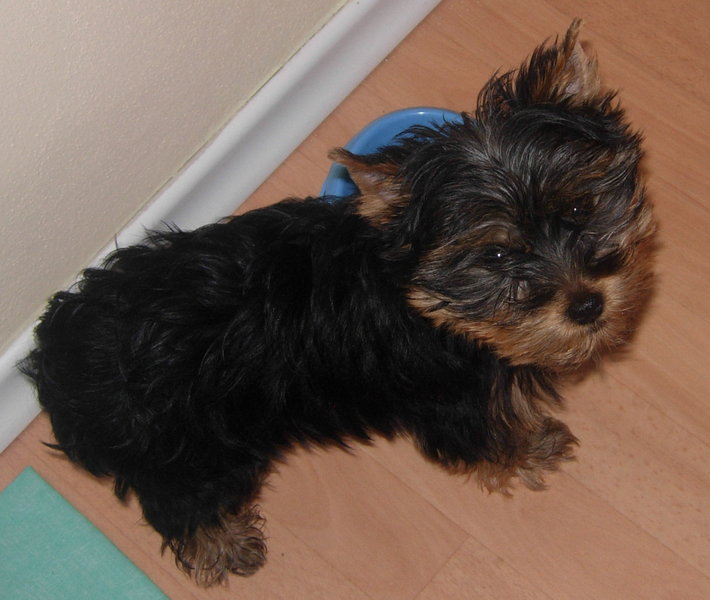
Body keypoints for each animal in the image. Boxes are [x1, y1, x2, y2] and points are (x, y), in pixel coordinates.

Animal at [21, 19, 655, 586]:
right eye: (497, 255)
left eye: (578, 209)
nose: (586, 305)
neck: (426, 302)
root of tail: (59, 352)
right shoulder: (452, 400)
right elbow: (487, 436)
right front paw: (529, 451)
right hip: (186, 446)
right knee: (180, 500)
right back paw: (223, 545)